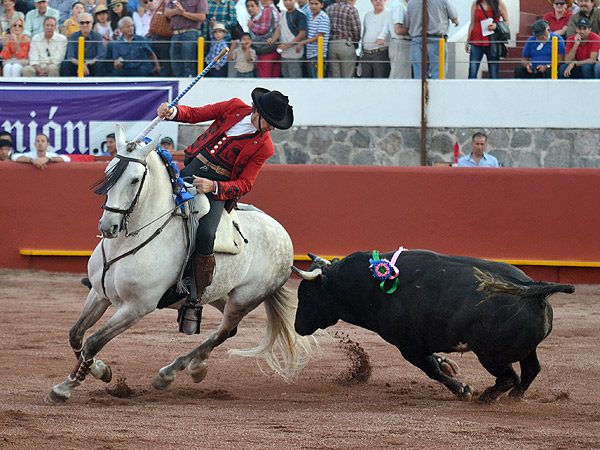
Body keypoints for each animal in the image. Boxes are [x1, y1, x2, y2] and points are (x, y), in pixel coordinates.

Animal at [44, 124, 312, 404]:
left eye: (135, 180)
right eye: (108, 172)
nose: (108, 226)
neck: (128, 242)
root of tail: (282, 234)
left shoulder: (137, 307)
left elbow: (93, 341)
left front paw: (65, 387)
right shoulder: (99, 294)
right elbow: (76, 334)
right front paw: (99, 370)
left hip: (245, 299)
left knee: (225, 330)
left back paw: (170, 373)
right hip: (215, 292)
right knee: (228, 330)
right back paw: (194, 367)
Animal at [292, 251, 576, 402]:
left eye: (306, 294)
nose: (297, 327)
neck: (373, 285)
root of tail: (532, 287)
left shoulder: (408, 346)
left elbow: (431, 370)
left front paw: (463, 390)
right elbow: (437, 364)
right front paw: (449, 365)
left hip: (490, 355)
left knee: (509, 376)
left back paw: (485, 398)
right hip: (523, 350)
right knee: (530, 371)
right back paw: (513, 398)